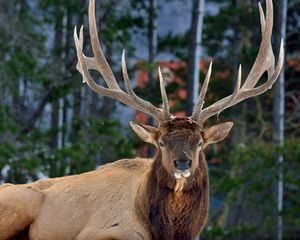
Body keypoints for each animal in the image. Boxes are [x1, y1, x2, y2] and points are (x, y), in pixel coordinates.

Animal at [0, 0, 282, 240]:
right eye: (161, 143)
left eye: (200, 143)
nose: (182, 163)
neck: (167, 232)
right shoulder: (98, 232)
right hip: (19, 203)